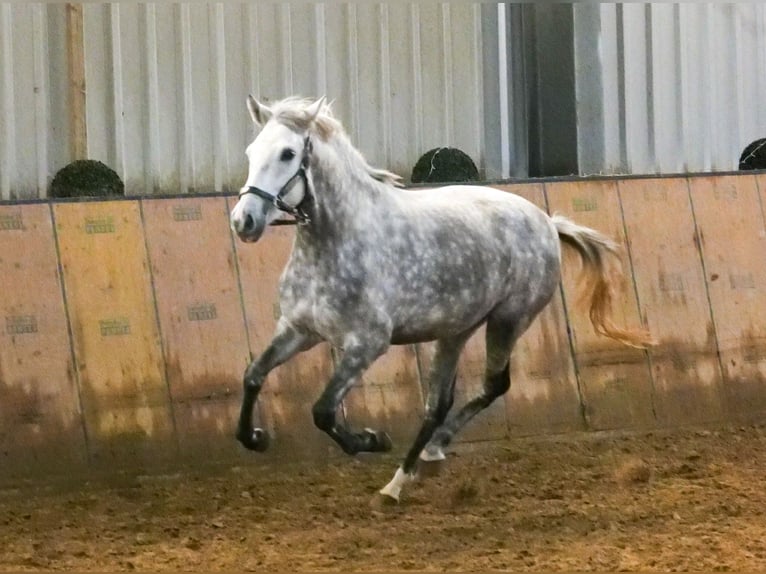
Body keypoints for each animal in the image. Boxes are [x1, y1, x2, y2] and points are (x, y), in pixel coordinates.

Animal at [230, 97, 656, 502]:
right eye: (251, 151)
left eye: (288, 154)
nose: (243, 221)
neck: (337, 242)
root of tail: (547, 222)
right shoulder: (299, 330)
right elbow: (253, 375)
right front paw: (255, 437)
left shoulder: (367, 344)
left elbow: (322, 411)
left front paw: (372, 439)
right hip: (456, 330)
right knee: (439, 404)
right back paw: (412, 470)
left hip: (509, 319)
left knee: (492, 385)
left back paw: (415, 466)